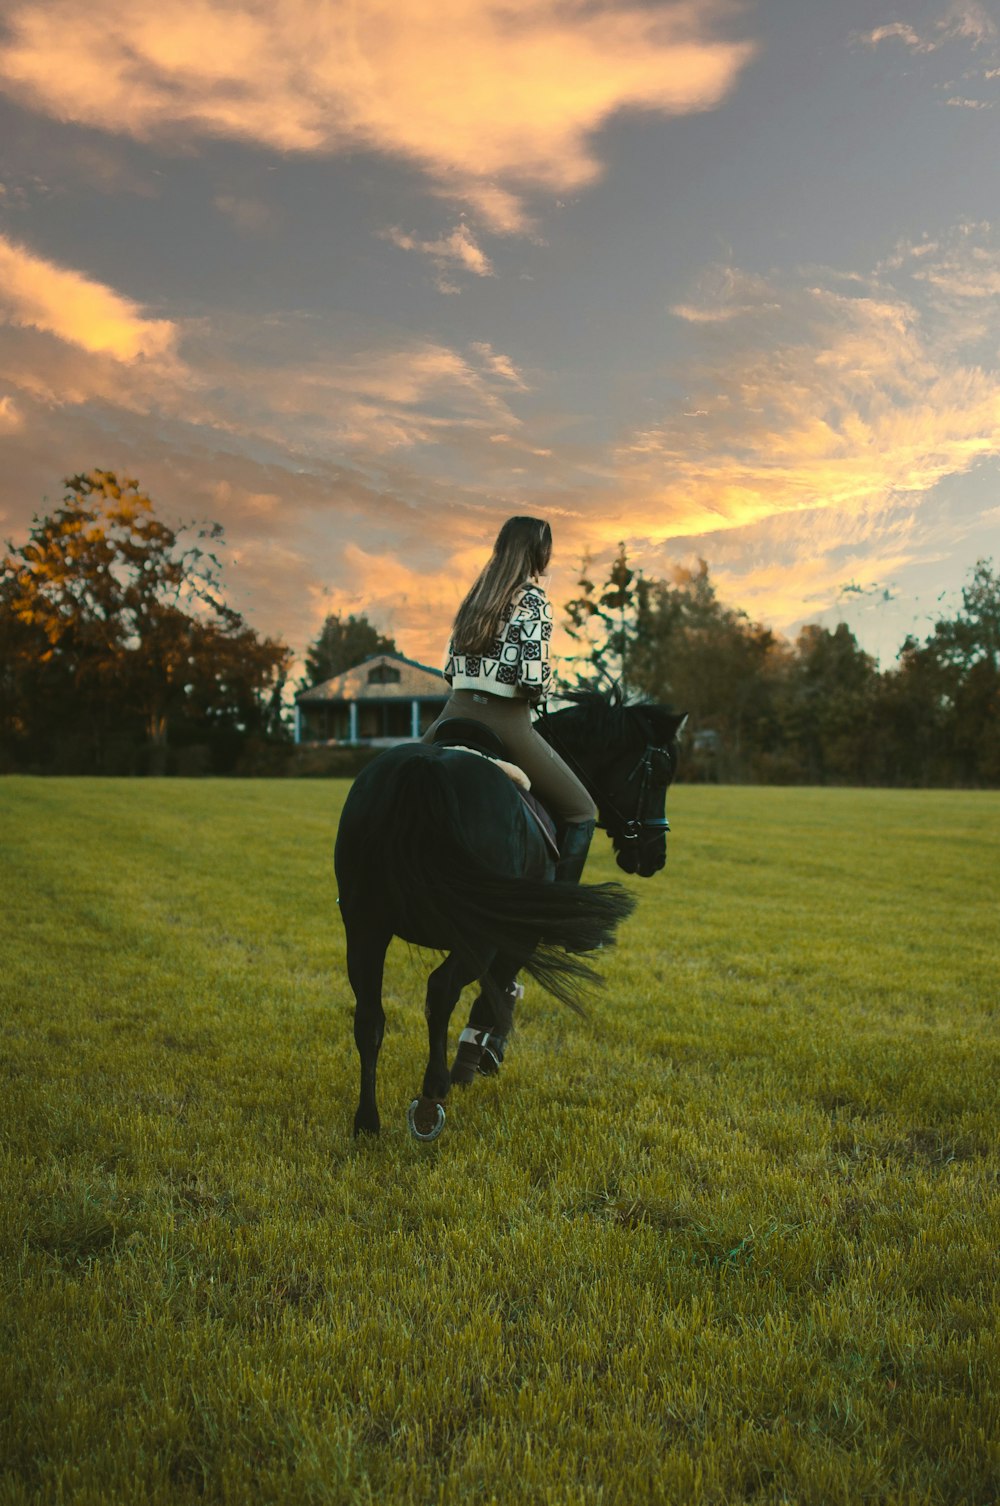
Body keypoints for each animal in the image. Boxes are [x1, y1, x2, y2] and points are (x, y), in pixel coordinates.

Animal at [331, 689, 683, 1132]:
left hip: (365, 926)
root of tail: (425, 768)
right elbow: (496, 993)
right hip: (474, 934)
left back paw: (367, 1121)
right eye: (660, 777)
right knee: (441, 990)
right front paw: (481, 1055)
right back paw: (431, 1098)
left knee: (369, 1016)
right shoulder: (516, 935)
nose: (656, 855)